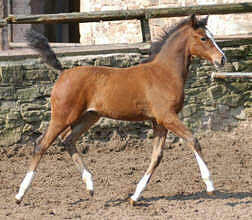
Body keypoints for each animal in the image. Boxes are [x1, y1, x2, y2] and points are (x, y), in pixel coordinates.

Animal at [15, 14, 226, 205]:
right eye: (203, 38)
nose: (222, 59)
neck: (164, 74)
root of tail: (63, 72)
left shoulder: (158, 122)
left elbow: (156, 156)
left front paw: (135, 196)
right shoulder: (167, 117)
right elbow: (193, 140)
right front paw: (210, 185)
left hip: (89, 117)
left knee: (67, 140)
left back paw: (90, 186)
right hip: (63, 116)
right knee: (41, 145)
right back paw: (20, 195)